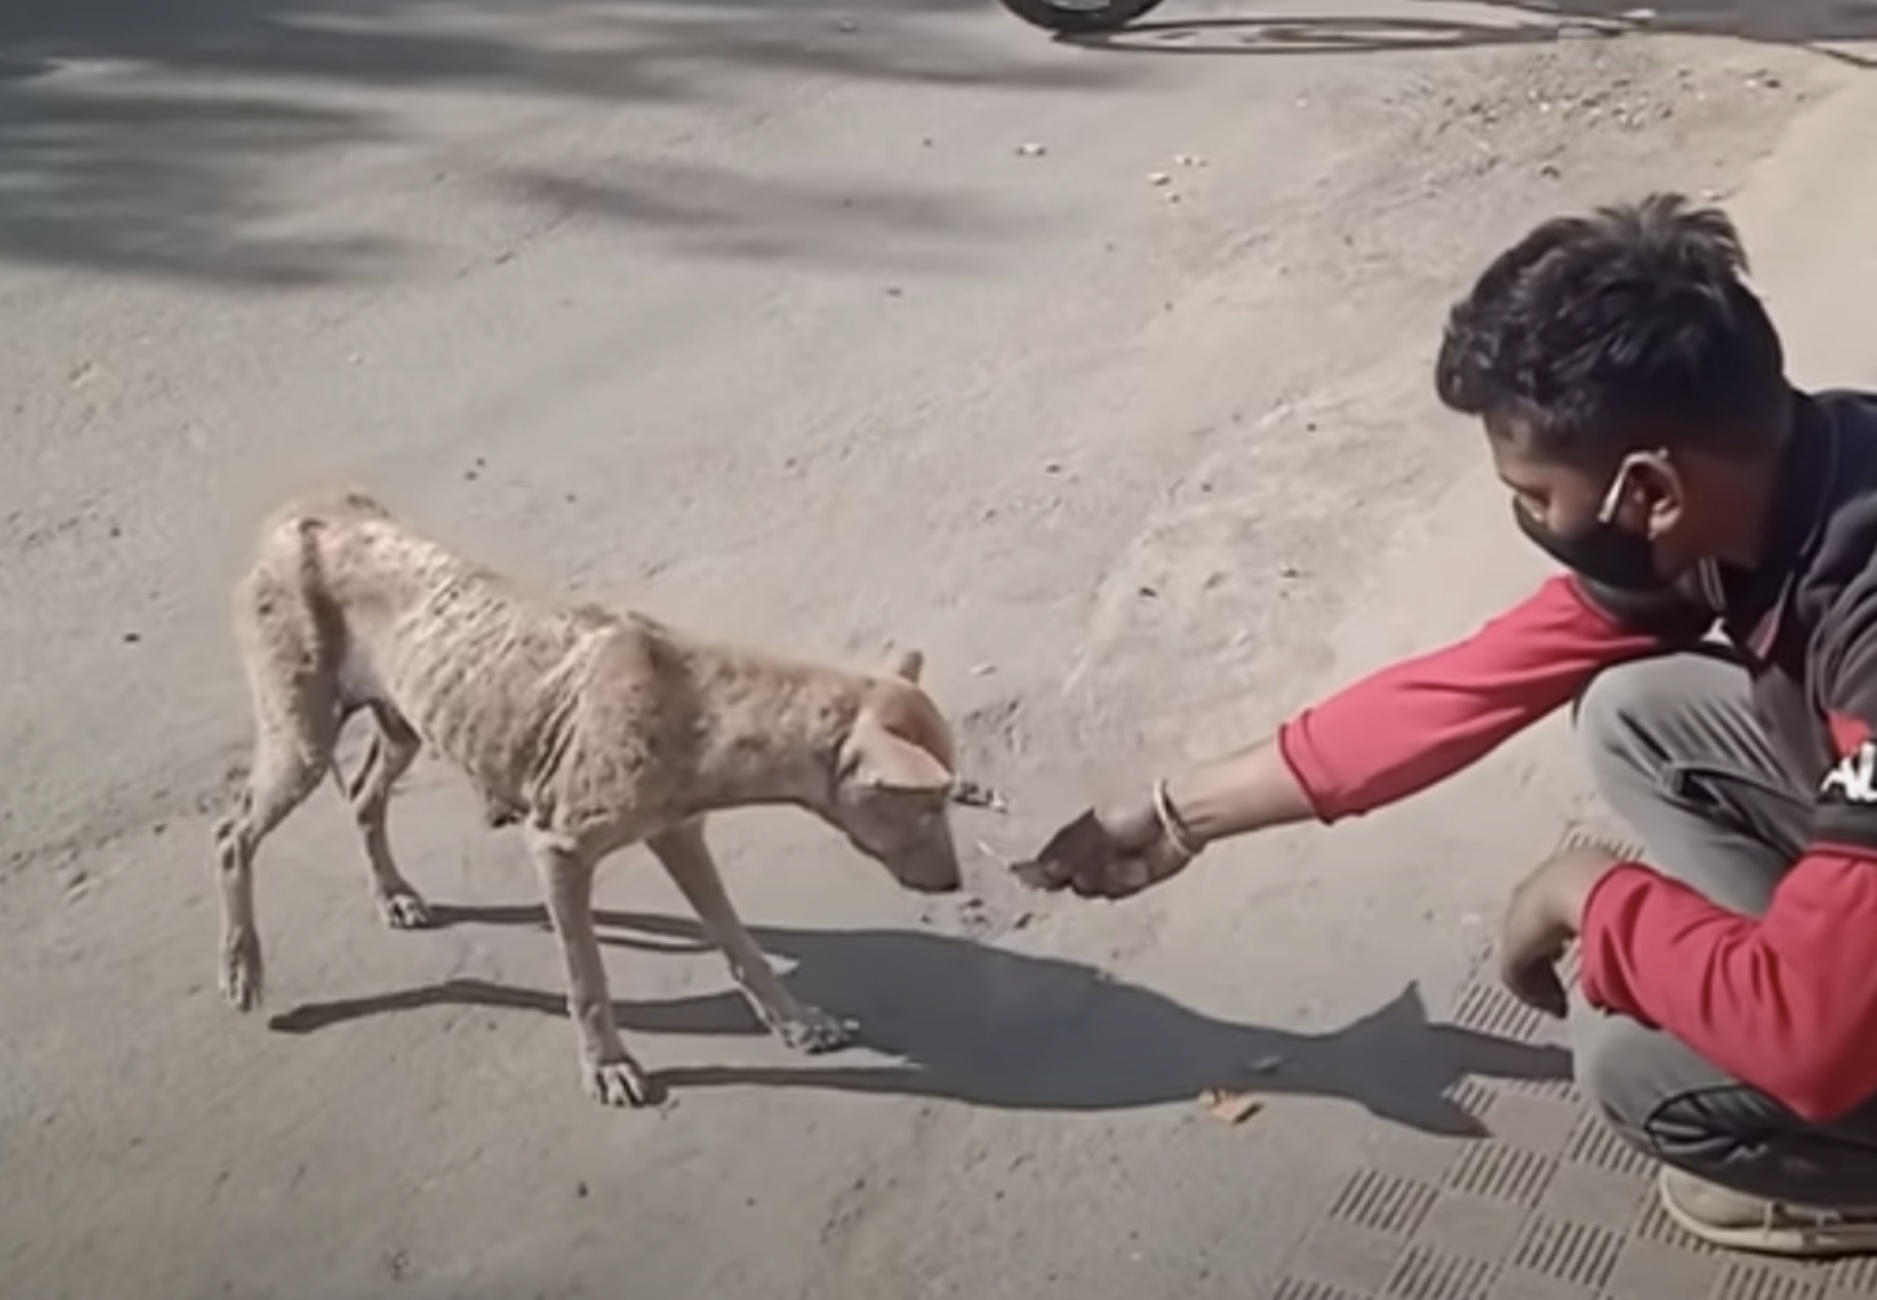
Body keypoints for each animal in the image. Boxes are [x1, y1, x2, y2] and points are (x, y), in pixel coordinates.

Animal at [213, 491, 961, 1103]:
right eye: (927, 805)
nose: (955, 883)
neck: (697, 702)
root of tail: (299, 514)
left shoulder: (678, 833)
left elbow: (737, 939)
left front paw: (796, 1022)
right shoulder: (559, 852)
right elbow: (586, 978)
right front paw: (607, 1065)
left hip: (405, 724)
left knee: (364, 798)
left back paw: (391, 893)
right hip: (301, 743)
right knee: (231, 836)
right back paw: (242, 964)